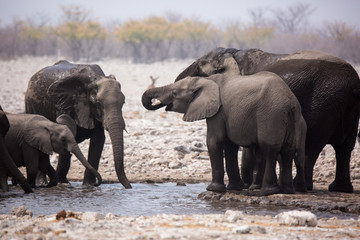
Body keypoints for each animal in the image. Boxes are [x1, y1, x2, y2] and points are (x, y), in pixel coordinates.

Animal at [25, 59, 132, 188]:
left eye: (123, 103)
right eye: (98, 103)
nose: (129, 187)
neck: (95, 78)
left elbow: (98, 140)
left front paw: (89, 185)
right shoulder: (64, 105)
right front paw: (63, 184)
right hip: (30, 104)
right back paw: (41, 183)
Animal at [143, 71, 306, 195]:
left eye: (175, 92)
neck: (206, 80)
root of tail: (290, 101)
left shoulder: (217, 111)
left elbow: (214, 141)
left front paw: (212, 189)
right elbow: (230, 145)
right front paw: (234, 188)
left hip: (271, 115)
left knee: (270, 149)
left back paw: (268, 191)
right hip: (293, 117)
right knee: (288, 150)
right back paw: (287, 191)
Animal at [172, 47, 360, 193]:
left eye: (200, 69)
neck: (231, 53)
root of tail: (353, 84)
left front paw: (248, 186)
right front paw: (248, 186)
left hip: (324, 101)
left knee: (312, 146)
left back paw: (302, 188)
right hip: (346, 108)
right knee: (345, 147)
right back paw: (338, 189)